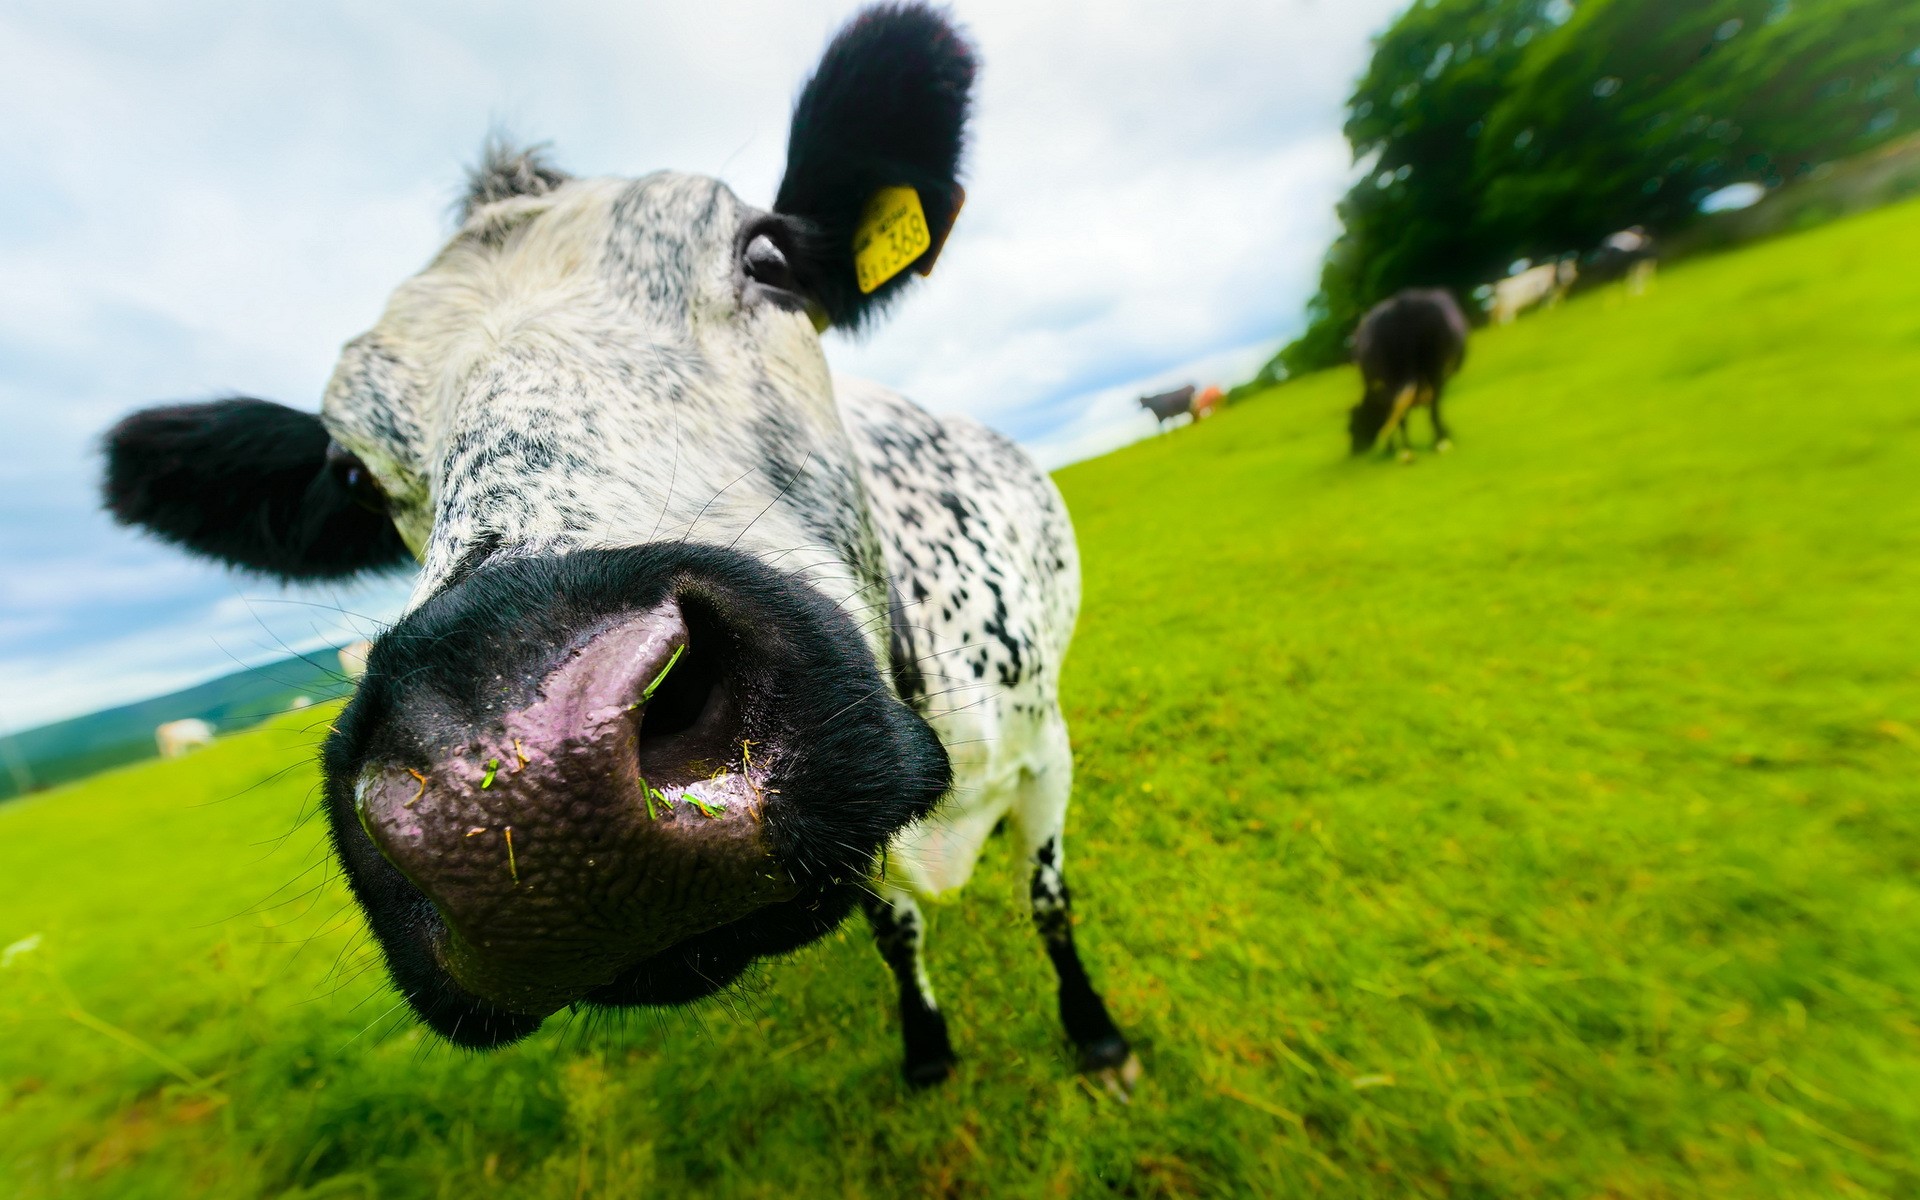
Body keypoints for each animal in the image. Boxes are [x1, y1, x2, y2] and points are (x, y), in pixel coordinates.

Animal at [97, 5, 1138, 1095]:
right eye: (348, 470)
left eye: (767, 259)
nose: (512, 774)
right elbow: (898, 931)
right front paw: (927, 1046)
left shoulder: (1048, 752)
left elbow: (1050, 901)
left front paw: (1096, 1033)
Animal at [1348, 288, 1469, 459]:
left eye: (1352, 428)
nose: (1355, 451)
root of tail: (1402, 304)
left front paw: (1390, 447)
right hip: (1432, 369)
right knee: (1429, 408)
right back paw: (1434, 442)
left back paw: (1411, 447)